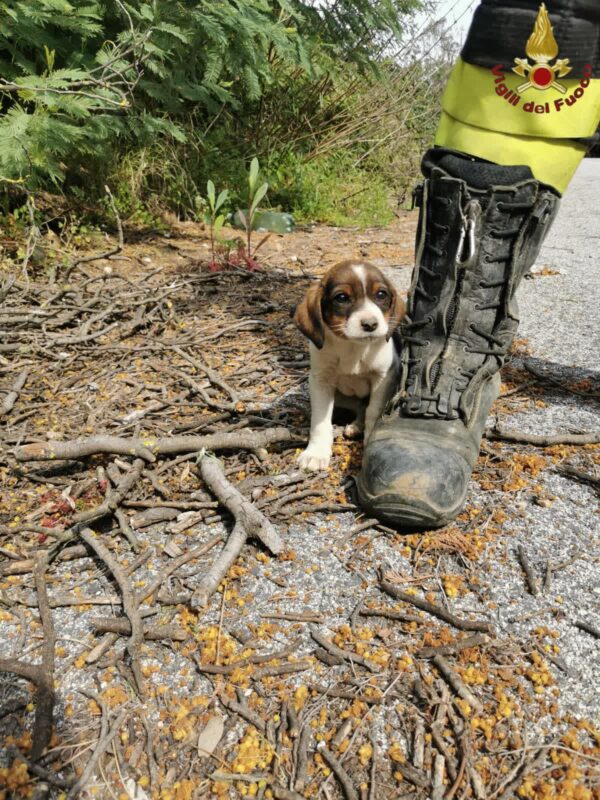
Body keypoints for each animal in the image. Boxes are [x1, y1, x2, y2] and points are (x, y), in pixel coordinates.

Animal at [294, 260, 406, 472]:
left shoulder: (383, 378)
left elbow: (373, 411)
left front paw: (369, 442)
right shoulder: (321, 381)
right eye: (342, 298)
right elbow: (320, 420)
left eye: (381, 294)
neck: (353, 349)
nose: (370, 324)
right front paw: (316, 453)